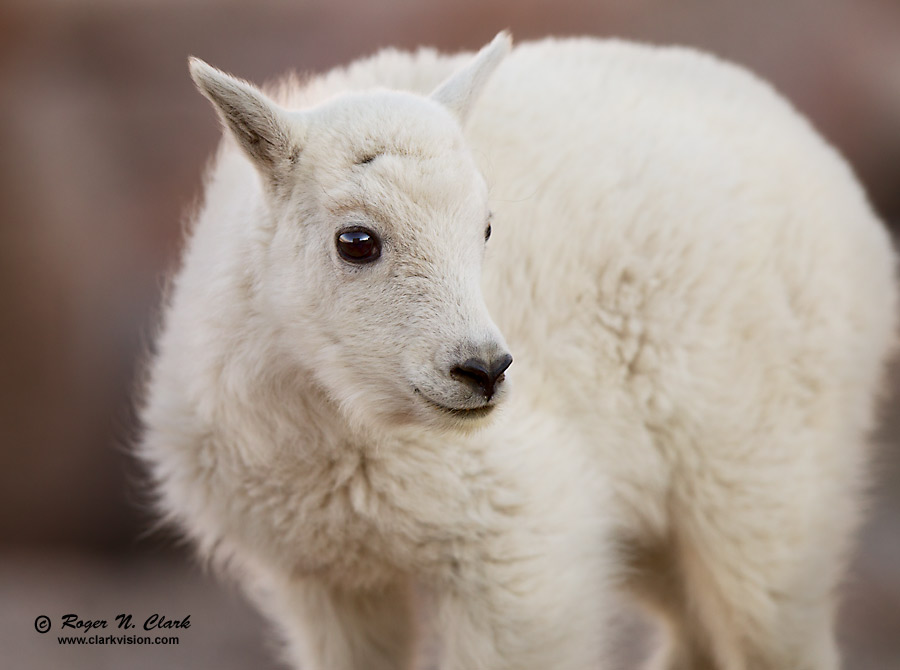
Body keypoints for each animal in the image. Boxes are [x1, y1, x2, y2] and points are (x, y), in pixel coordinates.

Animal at [137, 32, 896, 670]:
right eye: (355, 240)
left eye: (486, 227)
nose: (483, 369)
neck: (329, 420)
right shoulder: (325, 578)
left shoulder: (518, 549)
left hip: (768, 480)